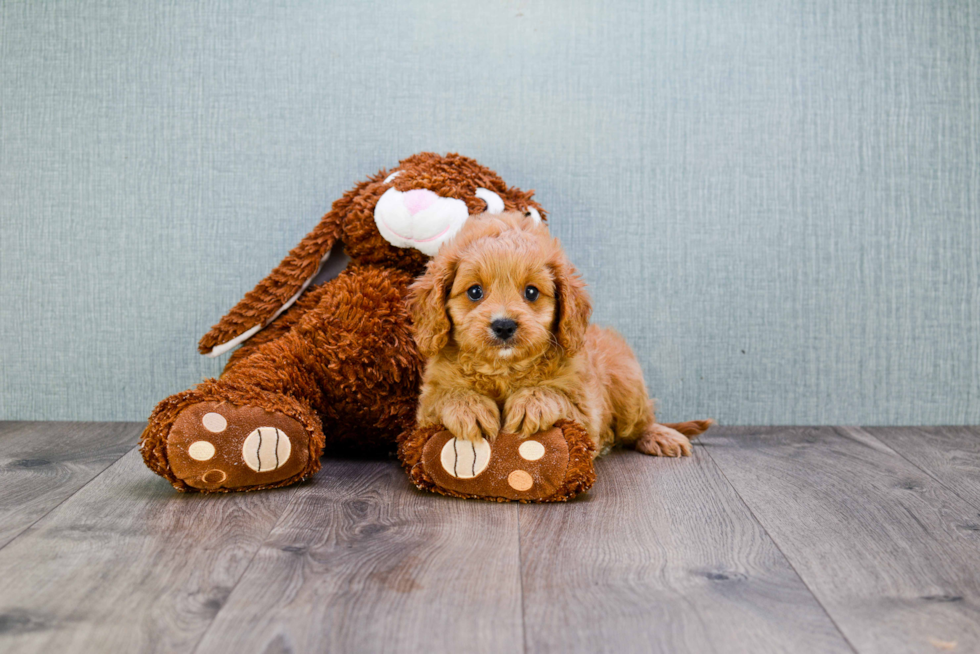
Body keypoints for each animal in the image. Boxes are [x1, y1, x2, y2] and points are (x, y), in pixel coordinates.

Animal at [410, 213, 708, 458]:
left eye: (531, 292)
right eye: (474, 292)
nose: (504, 326)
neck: (504, 369)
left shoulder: (586, 411)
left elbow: (556, 393)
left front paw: (531, 402)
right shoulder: (426, 408)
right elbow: (446, 396)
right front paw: (469, 407)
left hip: (627, 384)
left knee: (638, 424)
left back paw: (660, 436)